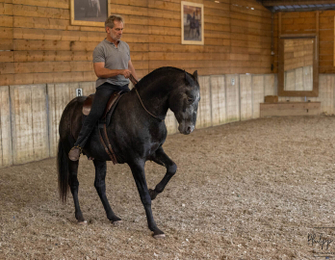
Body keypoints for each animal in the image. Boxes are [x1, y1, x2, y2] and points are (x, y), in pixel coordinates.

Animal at [57, 66, 201, 238]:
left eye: (199, 99)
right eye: (190, 98)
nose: (189, 128)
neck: (143, 113)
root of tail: (70, 107)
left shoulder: (155, 152)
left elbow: (172, 168)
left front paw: (154, 192)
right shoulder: (136, 161)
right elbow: (144, 195)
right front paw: (154, 228)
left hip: (99, 158)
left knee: (100, 185)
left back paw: (113, 217)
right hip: (71, 154)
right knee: (74, 183)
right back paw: (80, 217)